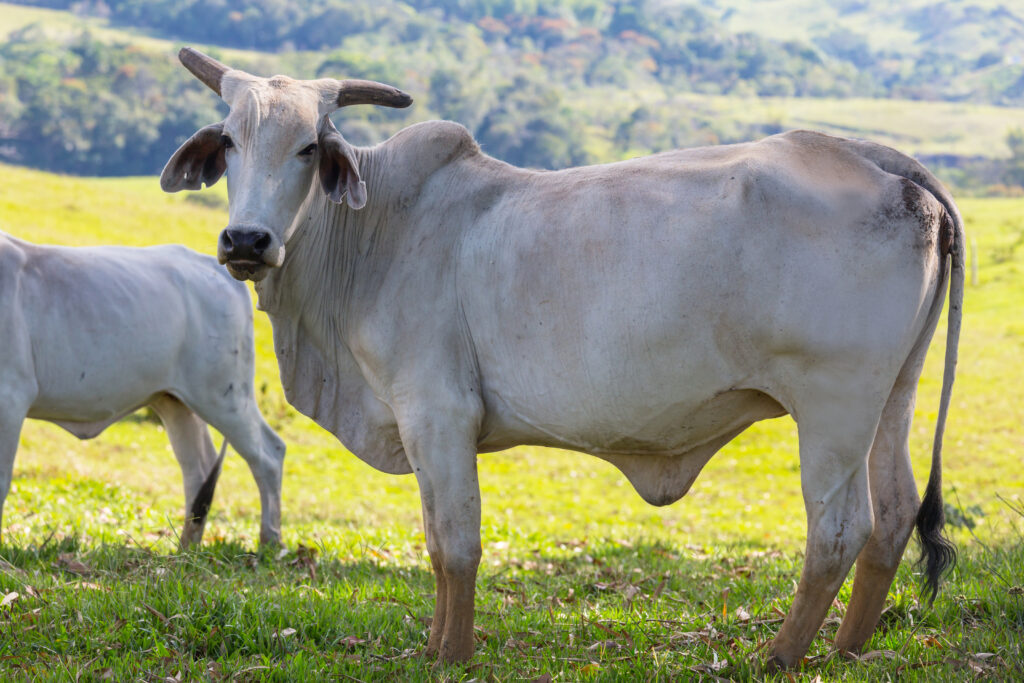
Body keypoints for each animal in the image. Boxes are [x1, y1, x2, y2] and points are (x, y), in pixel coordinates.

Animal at [0, 231, 286, 548]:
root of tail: (212, 265)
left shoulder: (11, 396)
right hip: (175, 401)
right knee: (198, 469)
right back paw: (186, 548)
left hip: (226, 396)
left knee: (268, 454)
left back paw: (270, 543)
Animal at [160, 47, 963, 669]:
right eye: (229, 142)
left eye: (307, 147)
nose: (246, 240)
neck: (376, 231)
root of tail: (880, 160)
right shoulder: (422, 427)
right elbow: (436, 543)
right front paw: (434, 646)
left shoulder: (438, 414)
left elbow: (457, 544)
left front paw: (453, 654)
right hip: (892, 396)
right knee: (894, 514)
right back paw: (846, 650)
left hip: (833, 406)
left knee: (839, 528)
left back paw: (780, 655)